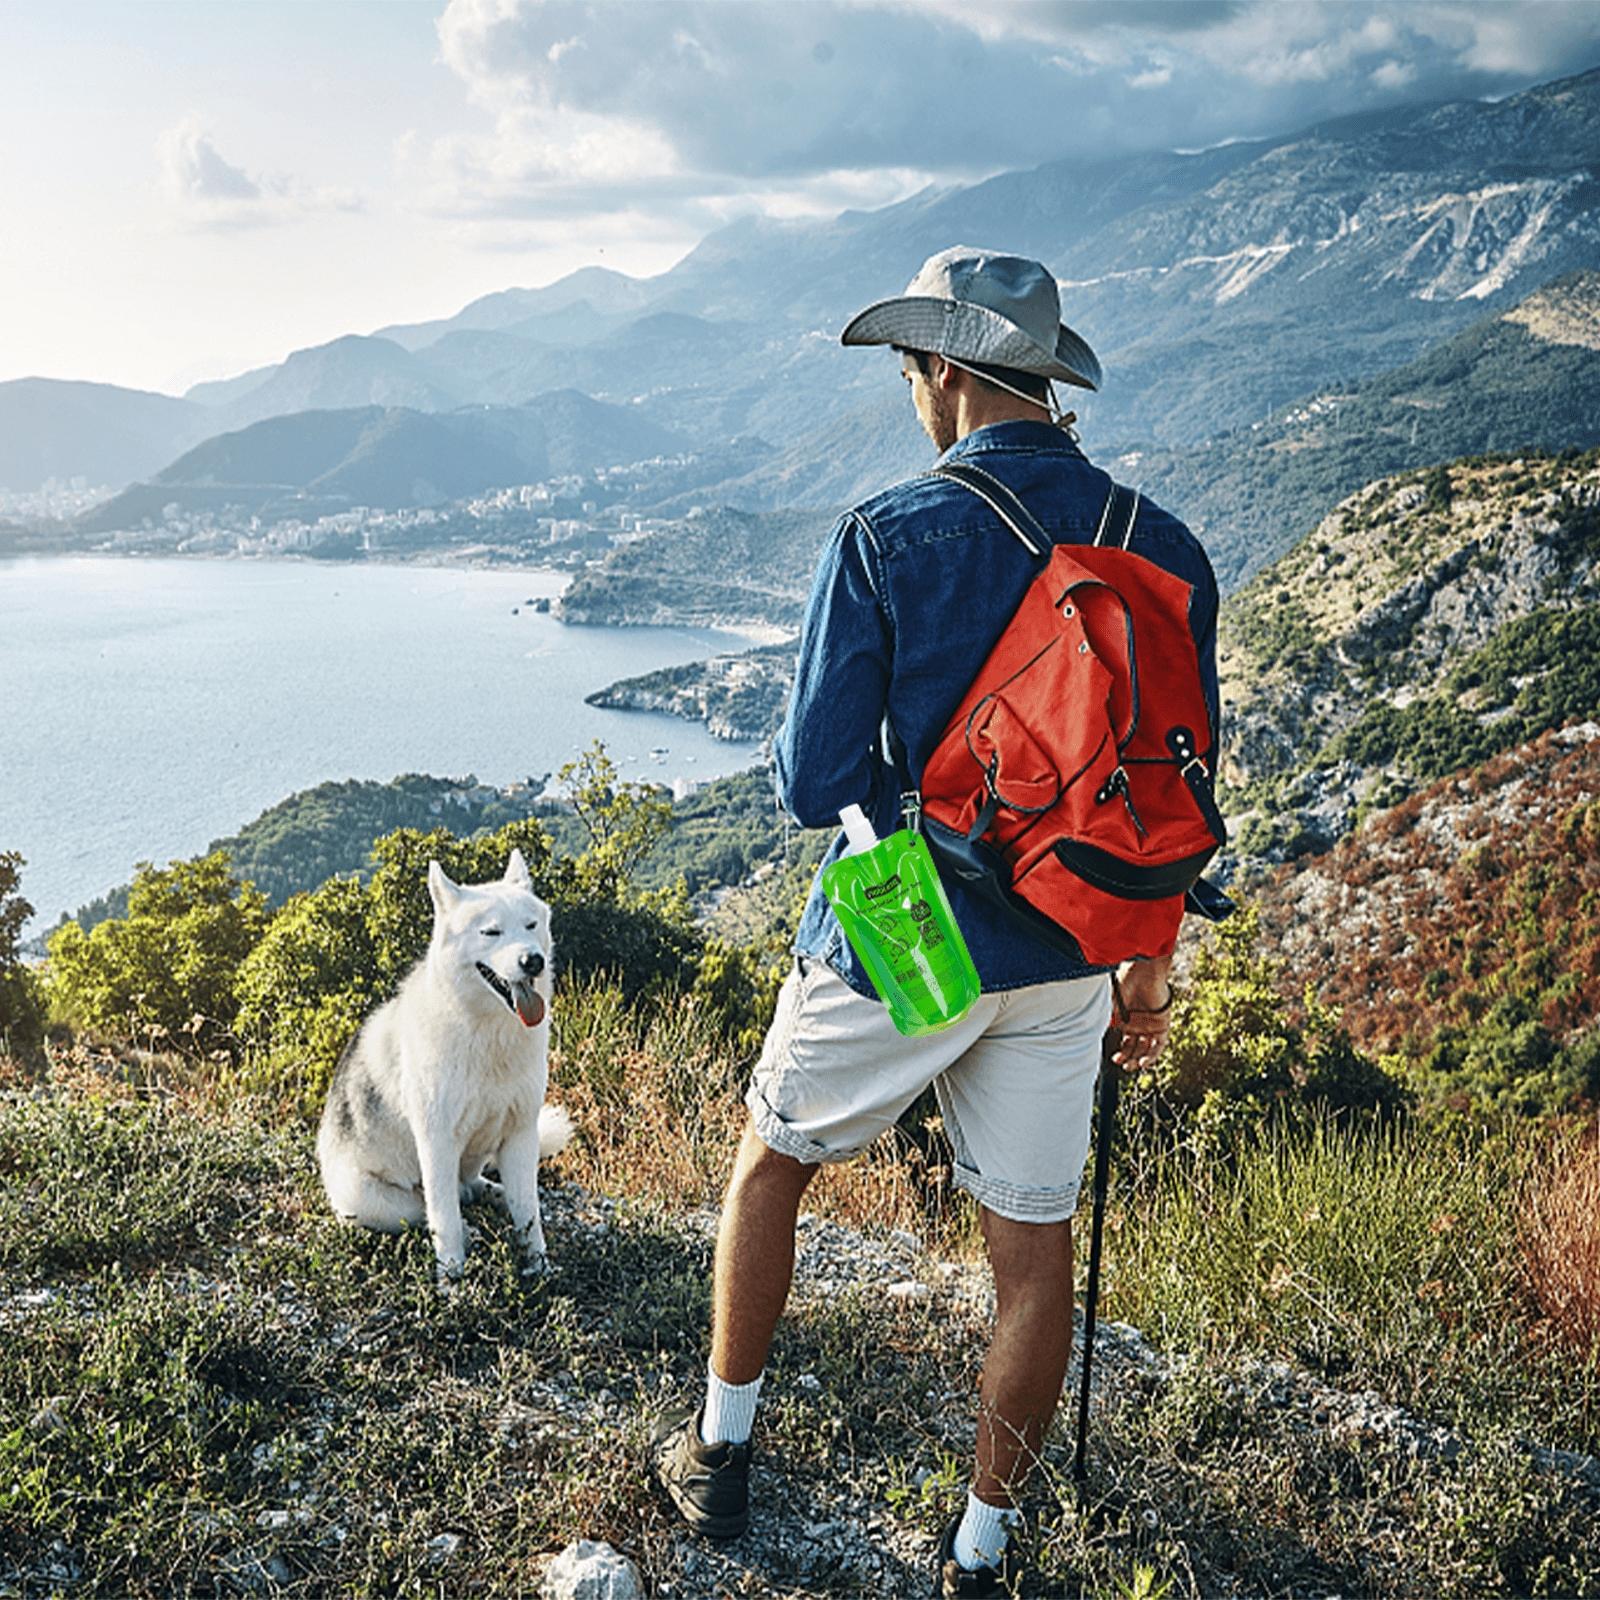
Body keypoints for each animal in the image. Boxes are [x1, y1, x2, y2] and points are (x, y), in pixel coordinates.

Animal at [315, 851, 572, 1286]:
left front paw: (539, 1268)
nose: (532, 961)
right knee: (430, 1209)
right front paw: (452, 1282)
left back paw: (491, 1194)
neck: (486, 1033)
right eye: (491, 932)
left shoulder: (521, 1133)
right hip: (367, 1199)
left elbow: (528, 1213)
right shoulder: (437, 1143)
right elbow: (444, 1220)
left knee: (473, 1187)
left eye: (531, 925)